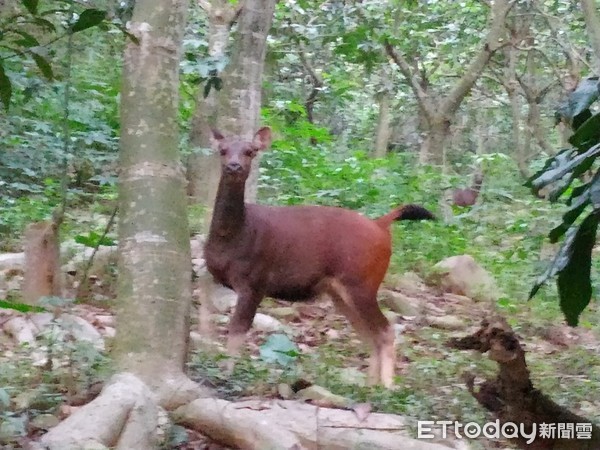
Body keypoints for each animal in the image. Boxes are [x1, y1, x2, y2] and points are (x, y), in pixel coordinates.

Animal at [204, 126, 434, 386]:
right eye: (223, 150)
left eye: (250, 151)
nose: (234, 166)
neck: (234, 237)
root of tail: (381, 226)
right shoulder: (214, 277)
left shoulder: (255, 281)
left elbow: (237, 330)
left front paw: (225, 375)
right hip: (340, 291)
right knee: (369, 334)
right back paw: (369, 385)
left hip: (362, 282)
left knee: (385, 330)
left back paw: (386, 387)